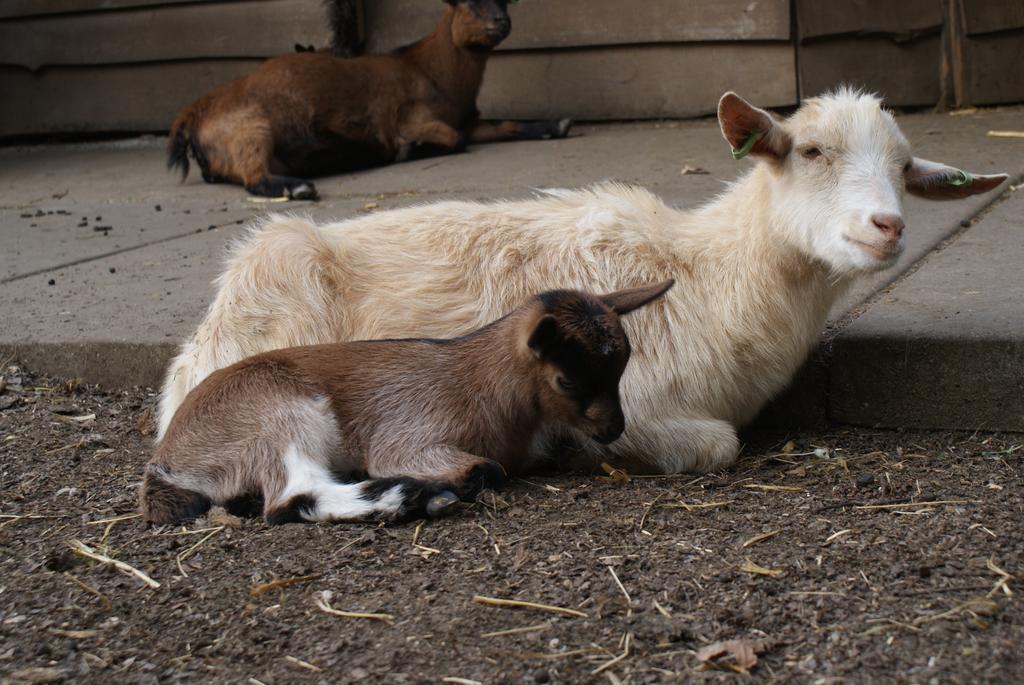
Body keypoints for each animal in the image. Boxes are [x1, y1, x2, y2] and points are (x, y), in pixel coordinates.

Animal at [142, 278, 671, 524]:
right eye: (566, 379)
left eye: (621, 367)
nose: (613, 428)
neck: (484, 382)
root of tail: (168, 460)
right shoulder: (410, 432)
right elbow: (487, 469)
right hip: (278, 414)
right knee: (290, 498)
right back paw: (413, 497)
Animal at [159, 88, 1007, 473]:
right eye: (810, 151)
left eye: (905, 167)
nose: (887, 226)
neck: (709, 274)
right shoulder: (641, 406)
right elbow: (717, 443)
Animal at [166, 0, 569, 198]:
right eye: (468, 1)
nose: (501, 21)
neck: (427, 68)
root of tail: (195, 113)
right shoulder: (412, 116)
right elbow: (454, 139)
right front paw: (412, 149)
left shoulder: (468, 119)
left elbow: (505, 124)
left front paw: (556, 124)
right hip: (251, 126)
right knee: (255, 178)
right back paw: (298, 186)